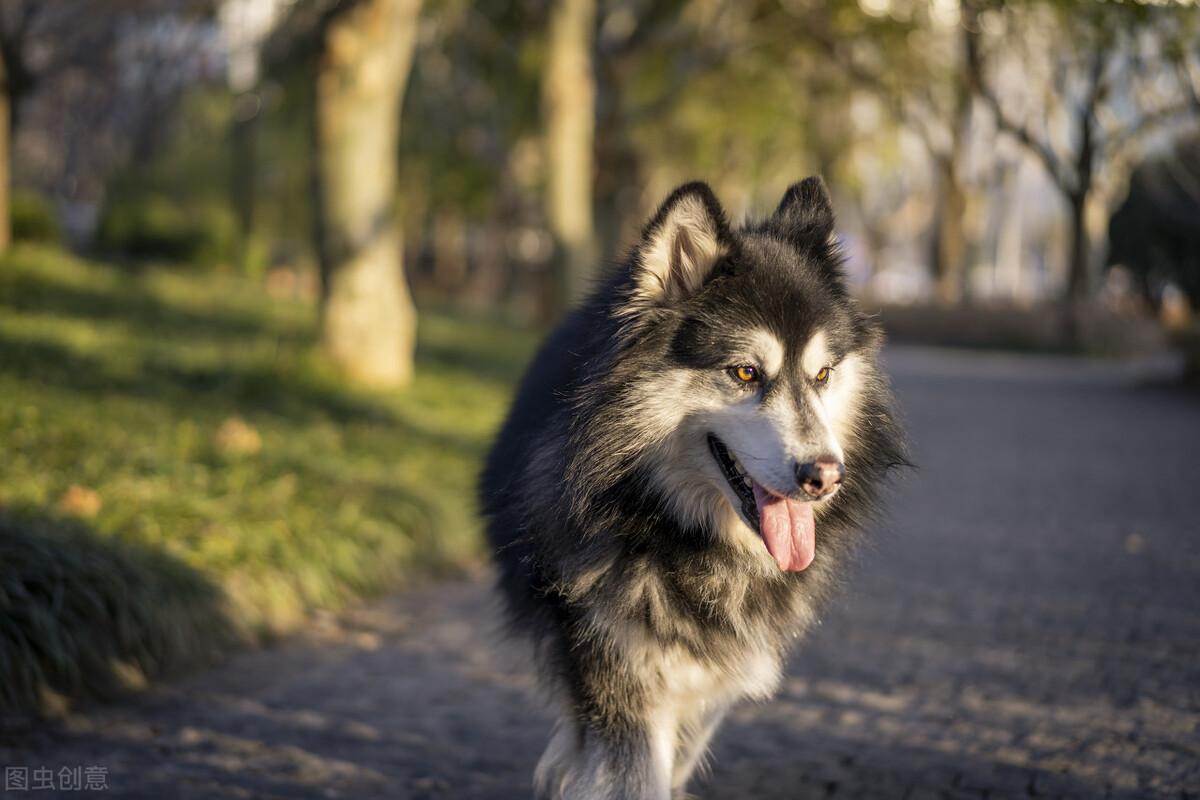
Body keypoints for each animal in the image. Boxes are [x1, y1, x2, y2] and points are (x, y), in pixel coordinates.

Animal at [482, 178, 902, 796]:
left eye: (823, 375)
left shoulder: (714, 678)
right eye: (746, 372)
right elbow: (634, 773)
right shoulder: (618, 671)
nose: (826, 476)